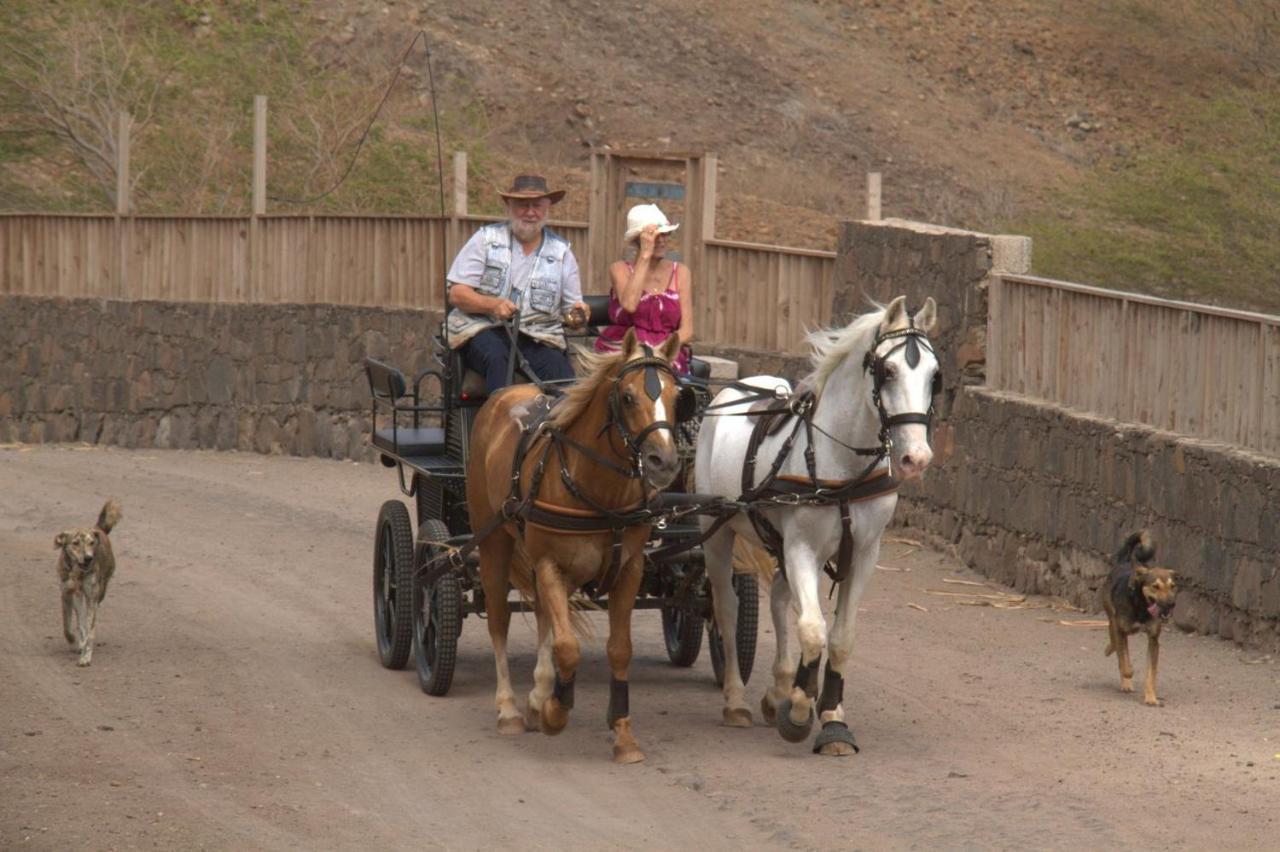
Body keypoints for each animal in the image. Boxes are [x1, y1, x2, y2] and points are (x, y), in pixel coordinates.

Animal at [55, 498, 122, 665]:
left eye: (91, 543)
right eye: (75, 543)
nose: (88, 558)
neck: (77, 572)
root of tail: (98, 529)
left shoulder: (92, 597)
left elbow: (90, 630)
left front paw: (86, 656)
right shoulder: (66, 594)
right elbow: (67, 626)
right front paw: (74, 641)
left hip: (99, 592)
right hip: (77, 597)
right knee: (80, 621)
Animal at [465, 327, 686, 757]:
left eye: (676, 396)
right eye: (628, 397)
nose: (664, 462)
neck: (599, 493)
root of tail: (503, 395)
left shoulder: (628, 569)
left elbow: (618, 648)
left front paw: (622, 732)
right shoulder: (551, 563)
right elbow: (567, 646)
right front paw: (556, 711)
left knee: (542, 616)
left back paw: (537, 695)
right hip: (493, 541)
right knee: (499, 619)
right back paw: (510, 709)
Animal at [691, 295, 942, 752]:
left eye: (936, 376)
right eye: (888, 371)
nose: (916, 458)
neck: (841, 465)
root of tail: (736, 388)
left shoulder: (863, 553)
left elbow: (840, 637)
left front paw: (829, 715)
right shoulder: (801, 548)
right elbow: (812, 629)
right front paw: (799, 711)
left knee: (777, 600)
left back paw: (777, 688)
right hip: (717, 531)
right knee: (727, 607)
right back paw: (736, 699)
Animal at [1100, 532, 1177, 701]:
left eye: (1172, 586)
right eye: (1155, 587)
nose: (1171, 604)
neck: (1141, 606)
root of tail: (1126, 561)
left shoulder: (1153, 640)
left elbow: (1150, 673)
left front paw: (1151, 697)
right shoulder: (1119, 628)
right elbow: (1124, 662)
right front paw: (1129, 672)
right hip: (1112, 619)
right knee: (1117, 643)